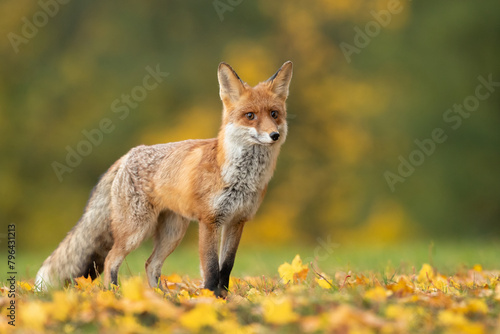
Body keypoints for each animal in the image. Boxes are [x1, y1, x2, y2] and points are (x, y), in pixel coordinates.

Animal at [36, 60, 292, 294]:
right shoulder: (210, 221)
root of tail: (127, 155)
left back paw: (162, 297)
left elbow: (226, 267)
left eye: (274, 114)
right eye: (250, 115)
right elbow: (211, 269)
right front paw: (210, 299)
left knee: (150, 264)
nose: (274, 135)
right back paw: (115, 294)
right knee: (111, 259)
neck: (241, 178)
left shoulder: (237, 221)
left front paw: (225, 298)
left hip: (172, 233)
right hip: (136, 230)